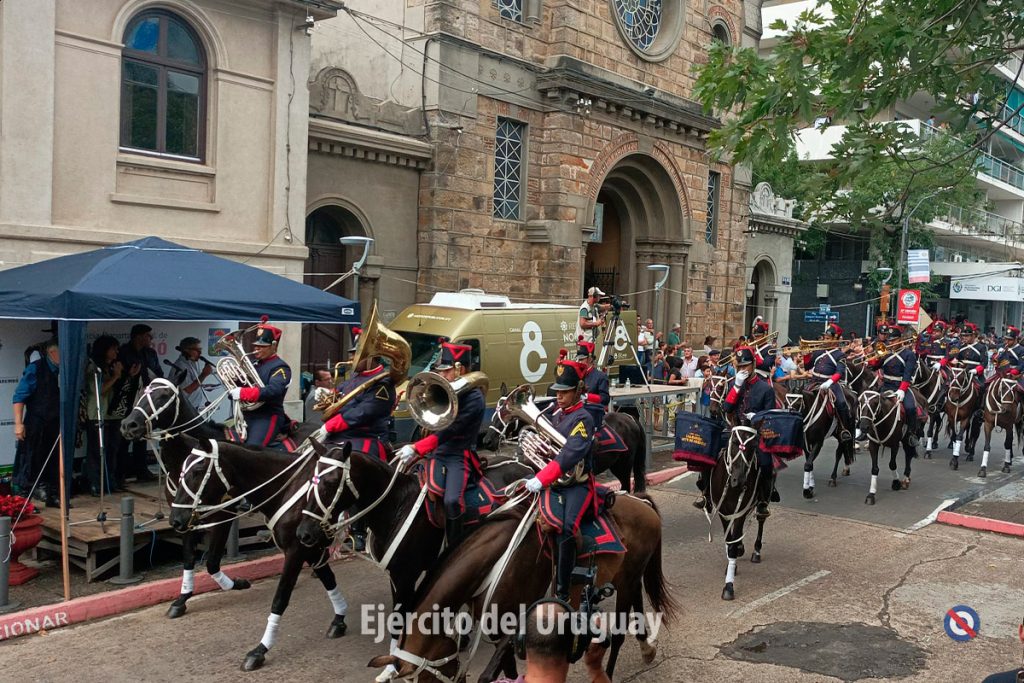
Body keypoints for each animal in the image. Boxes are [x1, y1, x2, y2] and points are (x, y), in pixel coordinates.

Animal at [119, 379, 253, 618]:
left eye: (164, 396)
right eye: (142, 391)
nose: (128, 425)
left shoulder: (223, 515)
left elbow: (212, 561)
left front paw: (236, 583)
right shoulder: (183, 517)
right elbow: (189, 558)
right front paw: (182, 599)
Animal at [294, 439, 534, 683]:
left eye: (331, 482)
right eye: (310, 481)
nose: (304, 533)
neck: (396, 506)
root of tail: (524, 466)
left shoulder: (405, 576)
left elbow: (399, 621)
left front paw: (392, 667)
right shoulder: (395, 576)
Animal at [366, 485, 674, 682]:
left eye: (427, 677)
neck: (494, 561)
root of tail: (640, 501)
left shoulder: (514, 621)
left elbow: (489, 674)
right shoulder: (494, 626)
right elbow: (509, 670)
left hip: (628, 578)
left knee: (619, 633)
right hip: (627, 577)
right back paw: (647, 648)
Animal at [481, 388, 648, 493]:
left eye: (505, 415)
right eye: (495, 411)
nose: (487, 441)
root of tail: (629, 417)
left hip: (623, 466)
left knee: (626, 487)